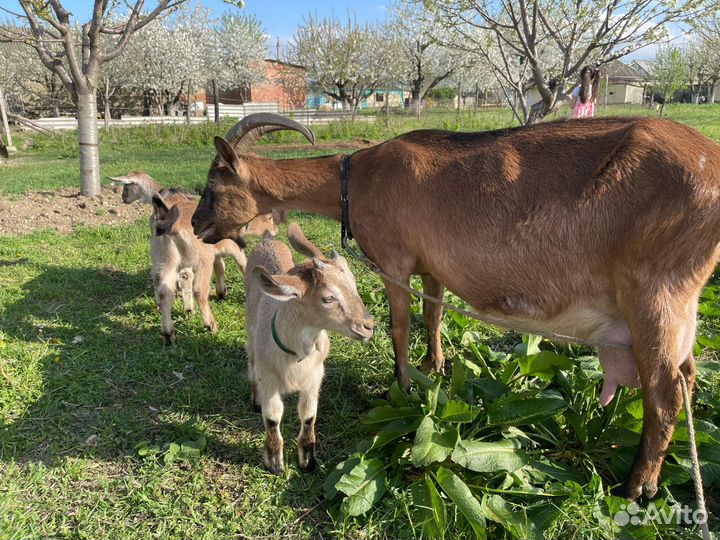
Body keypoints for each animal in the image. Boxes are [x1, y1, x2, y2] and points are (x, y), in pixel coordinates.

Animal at [245, 223, 374, 474]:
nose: (368, 326)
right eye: (328, 298)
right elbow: (272, 416)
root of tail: (267, 240)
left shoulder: (314, 376)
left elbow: (308, 415)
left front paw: (307, 460)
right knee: (251, 363)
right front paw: (274, 462)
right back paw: (255, 400)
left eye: (353, 285)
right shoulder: (269, 377)